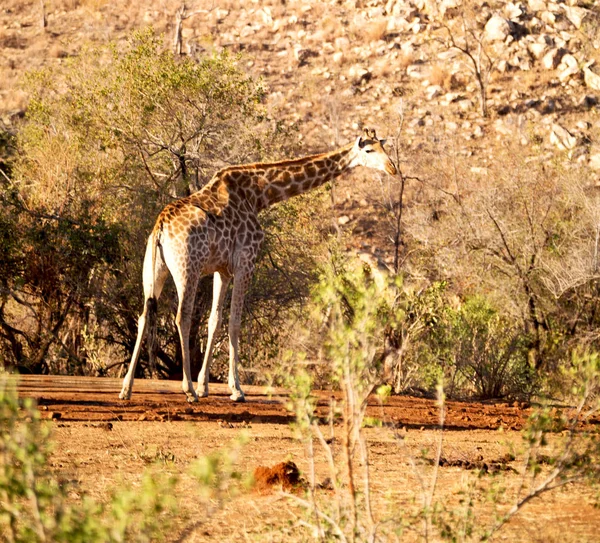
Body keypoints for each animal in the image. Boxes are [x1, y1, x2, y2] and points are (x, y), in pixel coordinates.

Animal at [119, 126, 396, 400]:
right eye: (369, 150)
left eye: (385, 147)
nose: (392, 168)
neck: (259, 195)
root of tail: (160, 227)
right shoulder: (246, 261)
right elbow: (235, 322)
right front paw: (235, 389)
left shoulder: (222, 269)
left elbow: (214, 320)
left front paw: (205, 385)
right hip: (188, 268)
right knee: (182, 317)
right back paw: (187, 390)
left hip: (154, 270)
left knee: (144, 315)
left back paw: (127, 388)